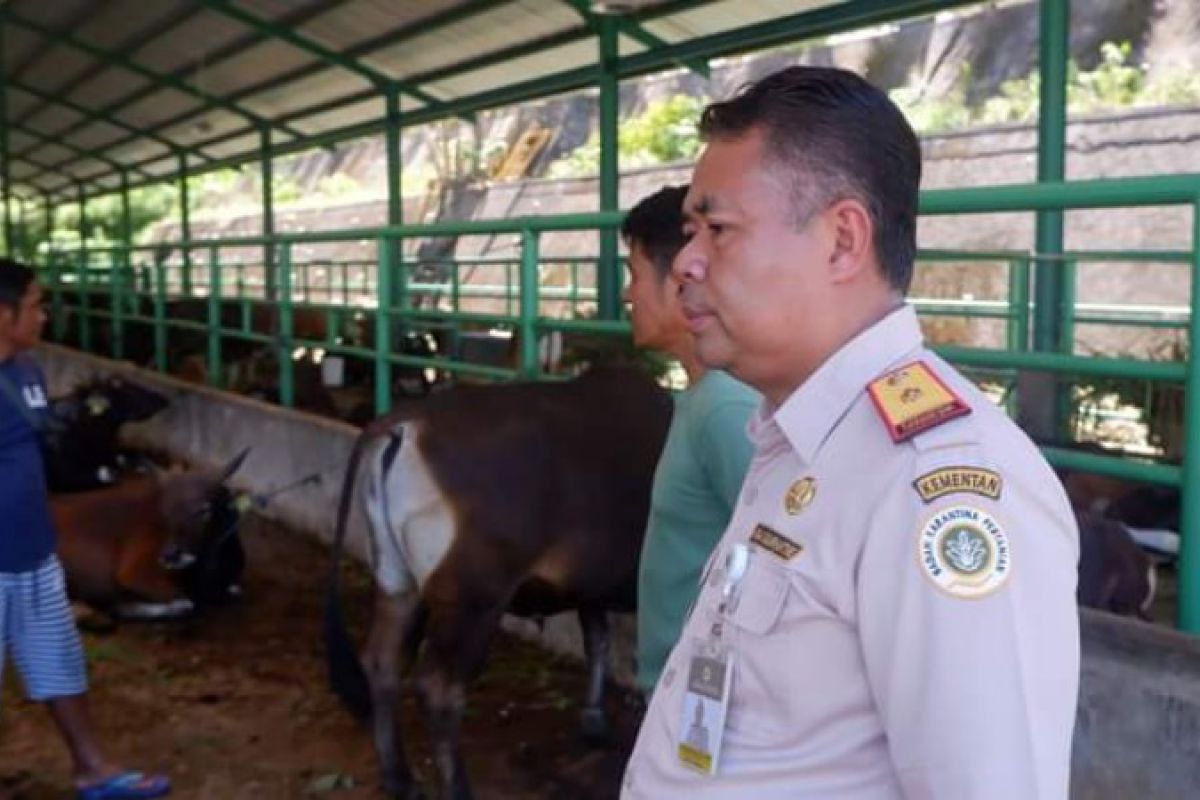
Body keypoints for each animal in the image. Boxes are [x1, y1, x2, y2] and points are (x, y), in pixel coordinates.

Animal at [324, 367, 672, 800]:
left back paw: (399, 778)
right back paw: (457, 788)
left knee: (382, 663)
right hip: (475, 601)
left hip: (398, 583)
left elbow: (598, 641)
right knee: (438, 687)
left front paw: (594, 720)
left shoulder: (589, 586)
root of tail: (405, 423)